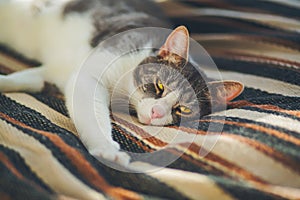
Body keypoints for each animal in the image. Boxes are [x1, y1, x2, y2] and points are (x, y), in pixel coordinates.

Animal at [0, 0, 244, 166]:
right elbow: (92, 114)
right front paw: (106, 148)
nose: (156, 112)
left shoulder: (52, 74)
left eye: (183, 109)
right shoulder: (90, 73)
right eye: (160, 85)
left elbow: (26, 78)